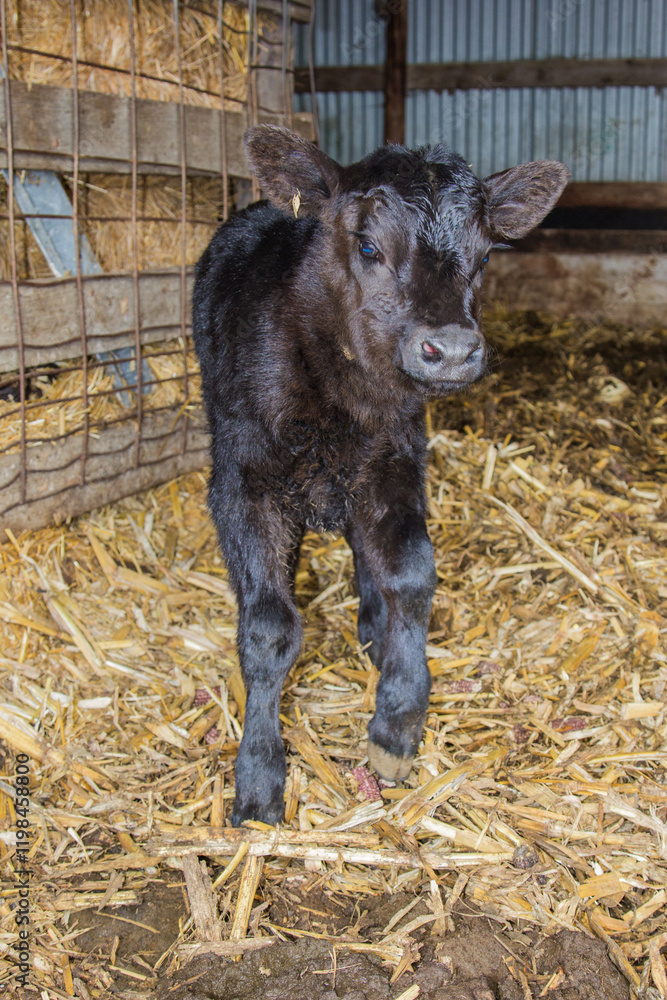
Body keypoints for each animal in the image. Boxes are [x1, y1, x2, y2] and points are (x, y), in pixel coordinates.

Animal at [192, 125, 568, 825]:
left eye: (483, 257)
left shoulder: (395, 458)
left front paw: (397, 719)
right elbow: (269, 626)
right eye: (368, 244)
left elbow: (413, 578)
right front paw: (258, 777)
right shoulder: (242, 482)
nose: (451, 349)